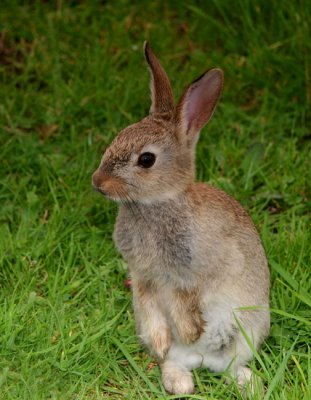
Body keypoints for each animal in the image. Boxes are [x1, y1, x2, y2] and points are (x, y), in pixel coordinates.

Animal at [92, 43, 270, 394]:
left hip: (250, 326)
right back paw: (181, 382)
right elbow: (152, 307)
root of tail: (204, 361)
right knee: (176, 360)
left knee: (230, 364)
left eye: (146, 159)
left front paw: (191, 331)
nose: (98, 182)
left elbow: (184, 300)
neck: (154, 204)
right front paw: (164, 342)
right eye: (118, 137)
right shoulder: (143, 277)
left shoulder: (190, 274)